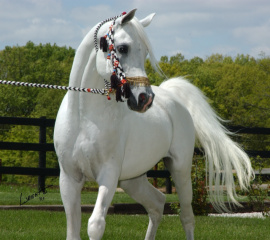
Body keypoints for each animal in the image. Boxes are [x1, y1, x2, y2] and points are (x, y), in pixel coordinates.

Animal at [54, 8, 253, 240]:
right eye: (123, 48)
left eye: (146, 53)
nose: (144, 99)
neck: (85, 118)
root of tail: (172, 97)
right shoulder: (69, 178)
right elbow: (73, 230)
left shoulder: (108, 174)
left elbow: (95, 225)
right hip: (133, 180)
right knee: (157, 203)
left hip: (180, 169)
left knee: (186, 216)